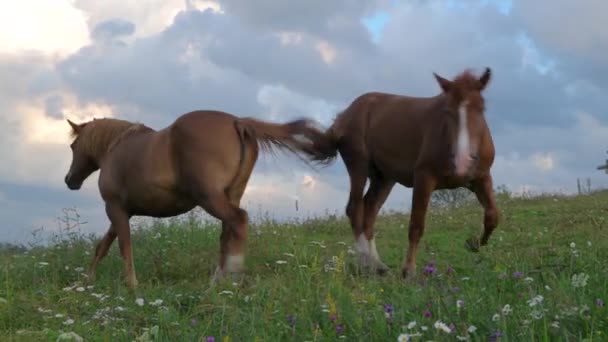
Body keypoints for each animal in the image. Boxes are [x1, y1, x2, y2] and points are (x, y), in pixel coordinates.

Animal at [63, 110, 328, 288]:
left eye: (73, 146)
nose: (69, 180)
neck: (116, 147)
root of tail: (237, 122)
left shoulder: (115, 209)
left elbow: (123, 247)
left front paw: (131, 284)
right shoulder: (122, 212)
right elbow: (103, 247)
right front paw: (87, 280)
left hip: (211, 198)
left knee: (238, 221)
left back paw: (231, 274)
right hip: (230, 195)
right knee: (228, 232)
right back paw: (218, 279)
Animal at [306, 67, 502, 278]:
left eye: (481, 108)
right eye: (448, 111)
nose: (463, 162)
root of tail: (345, 115)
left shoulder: (481, 178)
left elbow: (493, 215)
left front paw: (474, 243)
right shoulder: (424, 179)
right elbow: (416, 226)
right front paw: (408, 270)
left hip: (384, 178)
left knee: (369, 210)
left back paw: (378, 265)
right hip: (358, 166)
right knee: (354, 208)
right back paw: (368, 264)